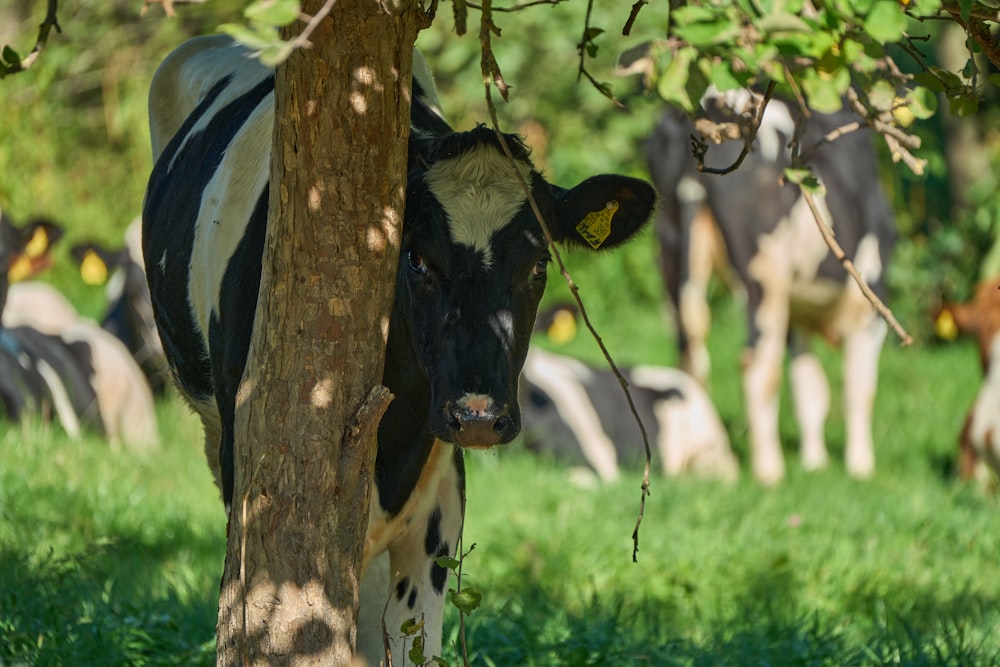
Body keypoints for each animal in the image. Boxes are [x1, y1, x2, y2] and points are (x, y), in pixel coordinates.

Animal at [648, 95, 900, 486]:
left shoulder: (798, 314)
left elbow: (809, 386)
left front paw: (815, 464)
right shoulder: (870, 307)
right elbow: (859, 388)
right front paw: (861, 469)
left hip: (672, 250)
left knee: (689, 351)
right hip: (765, 274)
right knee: (758, 364)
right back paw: (769, 472)